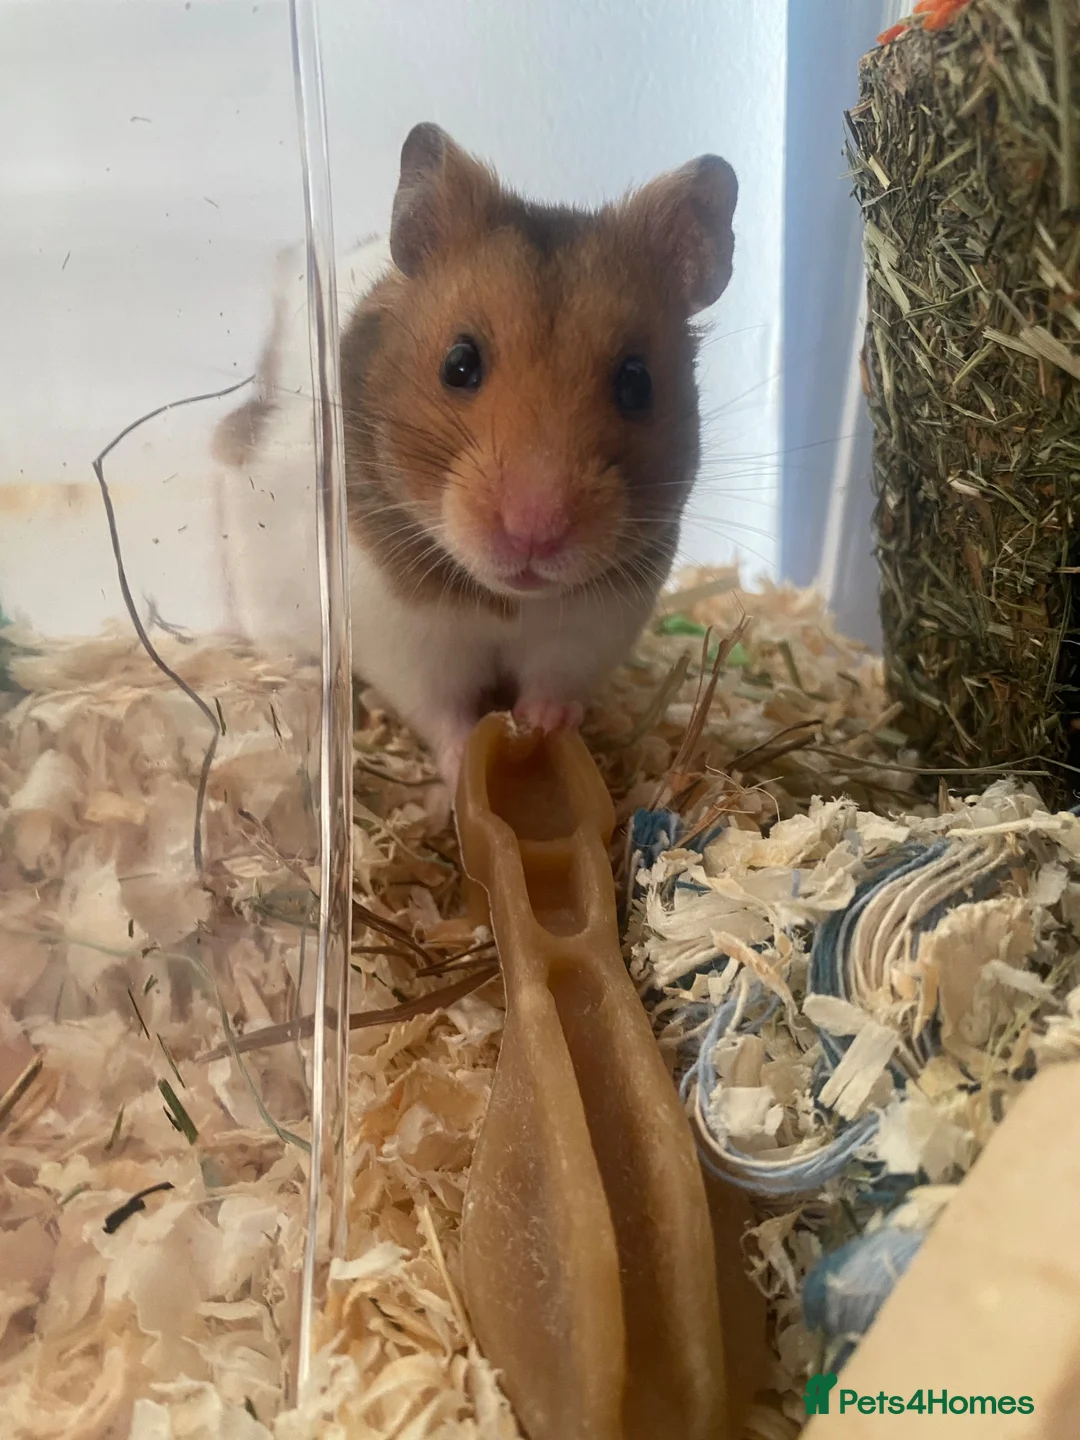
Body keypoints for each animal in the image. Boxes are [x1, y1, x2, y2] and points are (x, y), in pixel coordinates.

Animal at [217, 123, 737, 793]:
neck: (510, 602)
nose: (534, 533)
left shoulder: (593, 629)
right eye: (459, 364)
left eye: (636, 383)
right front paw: (466, 758)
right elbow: (441, 712)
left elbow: (555, 685)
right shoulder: (406, 640)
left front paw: (542, 725)